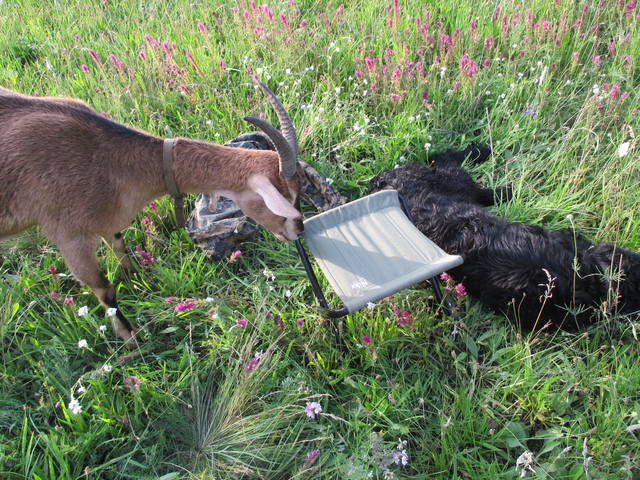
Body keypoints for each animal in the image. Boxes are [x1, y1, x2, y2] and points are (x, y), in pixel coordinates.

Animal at [0, 81, 304, 344]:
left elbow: (120, 246)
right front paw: (130, 339)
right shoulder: (69, 236)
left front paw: (137, 278)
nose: (299, 231)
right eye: (285, 198)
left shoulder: (109, 221)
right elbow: (105, 290)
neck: (108, 158)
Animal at [370, 144, 640, 328]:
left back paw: (505, 190)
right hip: (452, 181)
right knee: (446, 158)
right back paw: (484, 156)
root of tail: (382, 181)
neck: (592, 276)